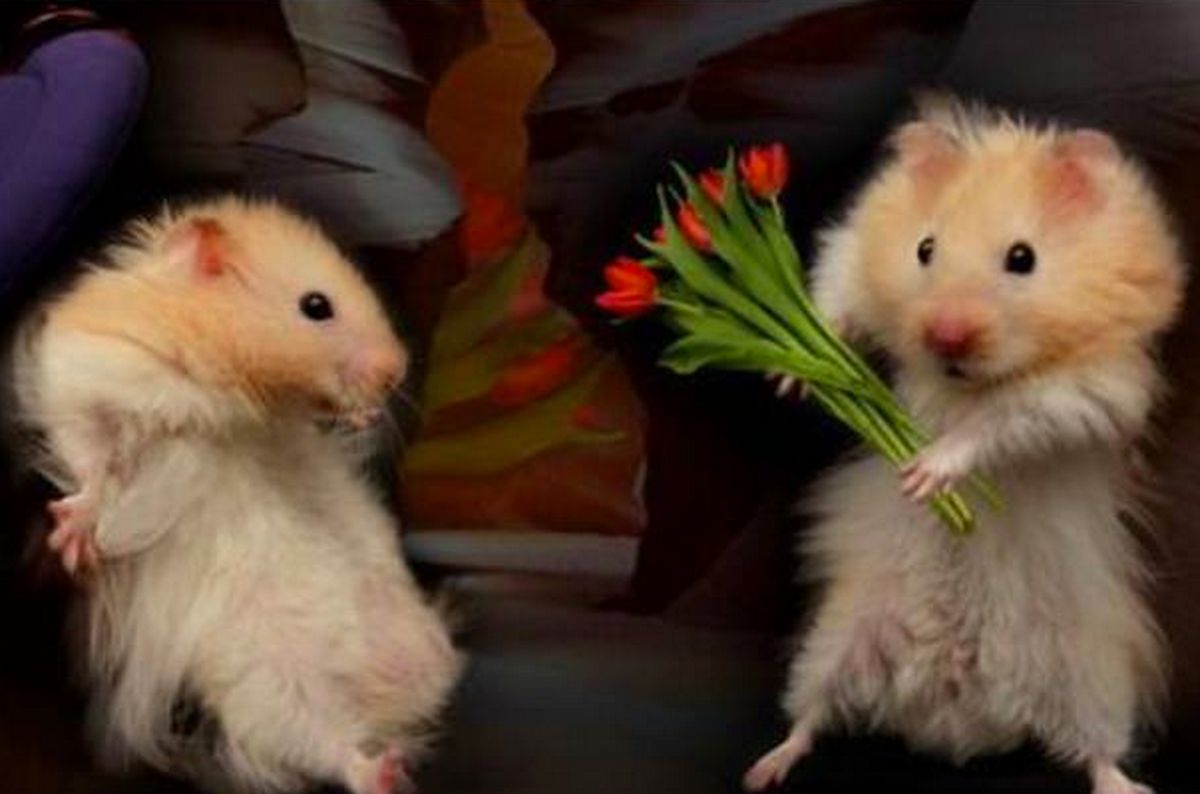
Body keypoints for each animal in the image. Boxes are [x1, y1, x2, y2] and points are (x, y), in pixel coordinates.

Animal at [14, 197, 462, 793]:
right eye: (316, 306)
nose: (397, 370)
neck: (243, 397)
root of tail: (384, 693)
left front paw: (362, 414)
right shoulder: (89, 378)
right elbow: (91, 463)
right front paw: (73, 541)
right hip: (269, 687)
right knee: (332, 747)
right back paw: (384, 773)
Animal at [744, 101, 1185, 794]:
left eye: (1023, 258)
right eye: (924, 248)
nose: (945, 336)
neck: (967, 379)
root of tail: (956, 719)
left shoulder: (1088, 391)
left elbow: (997, 423)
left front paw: (923, 474)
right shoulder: (850, 260)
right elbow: (836, 308)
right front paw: (793, 370)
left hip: (1090, 675)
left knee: (1098, 751)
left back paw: (1127, 787)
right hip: (836, 640)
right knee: (809, 715)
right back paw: (763, 769)